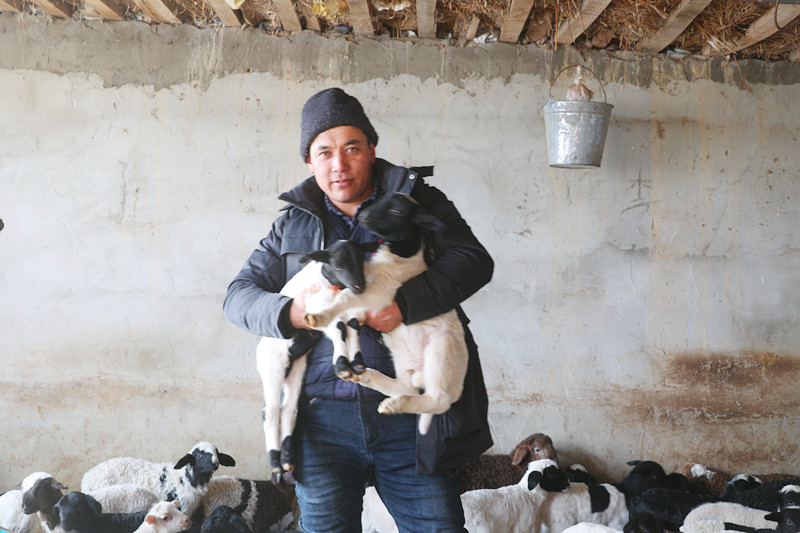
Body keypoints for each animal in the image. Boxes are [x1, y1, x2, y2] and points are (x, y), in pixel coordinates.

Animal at [80, 442, 236, 517]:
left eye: (217, 453)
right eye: (198, 455)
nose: (215, 464)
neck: (185, 478)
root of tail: (87, 478)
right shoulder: (180, 507)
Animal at [256, 239, 379, 473]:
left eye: (361, 258)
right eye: (338, 265)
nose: (359, 287)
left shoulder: (349, 311)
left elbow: (352, 327)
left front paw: (357, 364)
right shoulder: (315, 313)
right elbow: (339, 328)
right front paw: (342, 367)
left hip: (296, 369)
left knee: (288, 411)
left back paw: (287, 459)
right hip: (272, 366)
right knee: (271, 412)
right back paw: (275, 463)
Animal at [302, 192, 467, 435]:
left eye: (397, 211)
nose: (362, 215)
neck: (400, 254)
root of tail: (457, 387)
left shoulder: (380, 291)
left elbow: (345, 296)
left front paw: (318, 316)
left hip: (441, 351)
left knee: (439, 400)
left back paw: (392, 405)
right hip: (402, 359)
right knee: (405, 387)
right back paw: (368, 377)